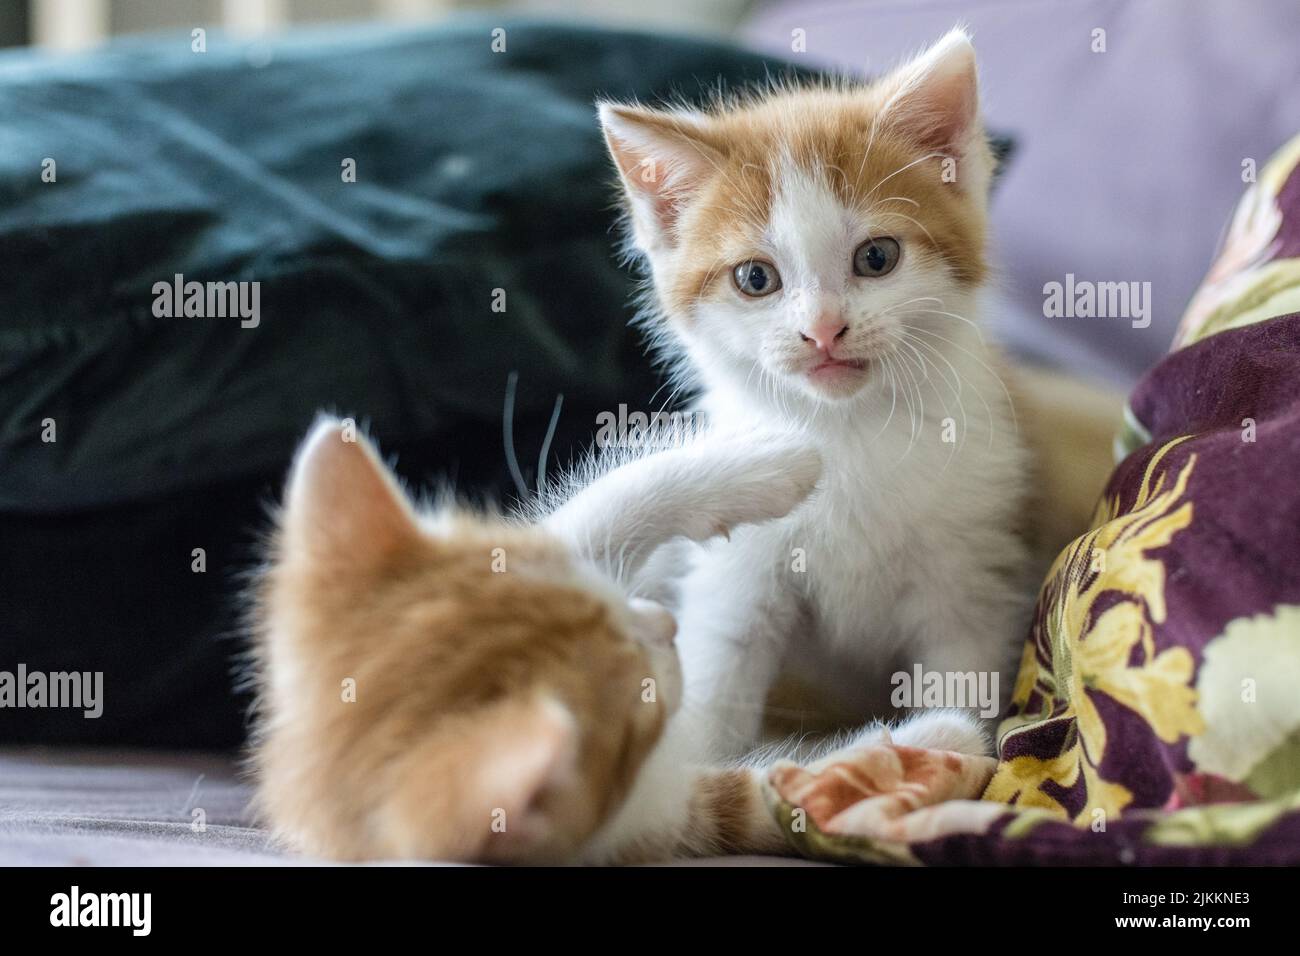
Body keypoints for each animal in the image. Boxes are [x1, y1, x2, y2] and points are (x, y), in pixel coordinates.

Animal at [250, 418, 821, 868]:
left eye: (592, 583)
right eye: (644, 698)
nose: (667, 625)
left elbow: (606, 510)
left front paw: (772, 454)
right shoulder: (642, 823)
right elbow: (753, 804)